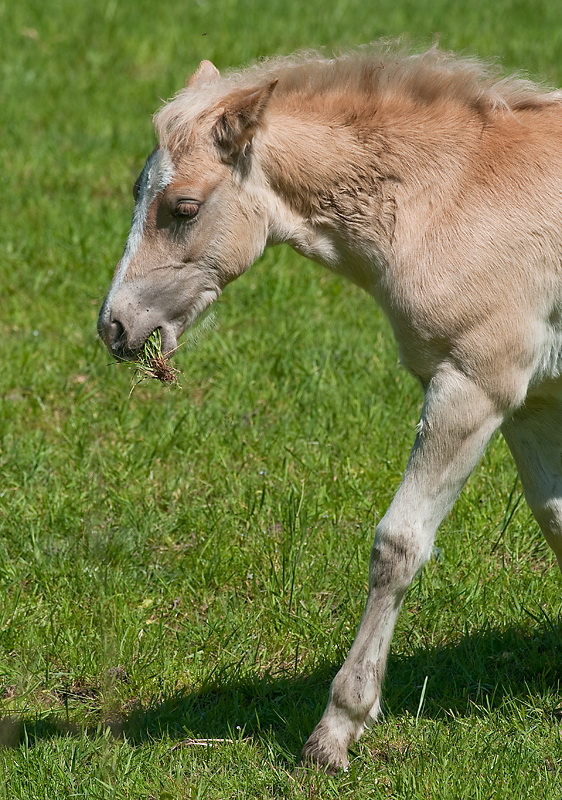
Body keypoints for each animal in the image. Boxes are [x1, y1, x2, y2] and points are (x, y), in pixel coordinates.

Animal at [98, 43, 560, 768]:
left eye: (183, 208)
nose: (113, 327)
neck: (453, 196)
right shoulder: (533, 401)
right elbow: (557, 520)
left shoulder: (473, 385)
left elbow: (398, 545)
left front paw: (336, 730)